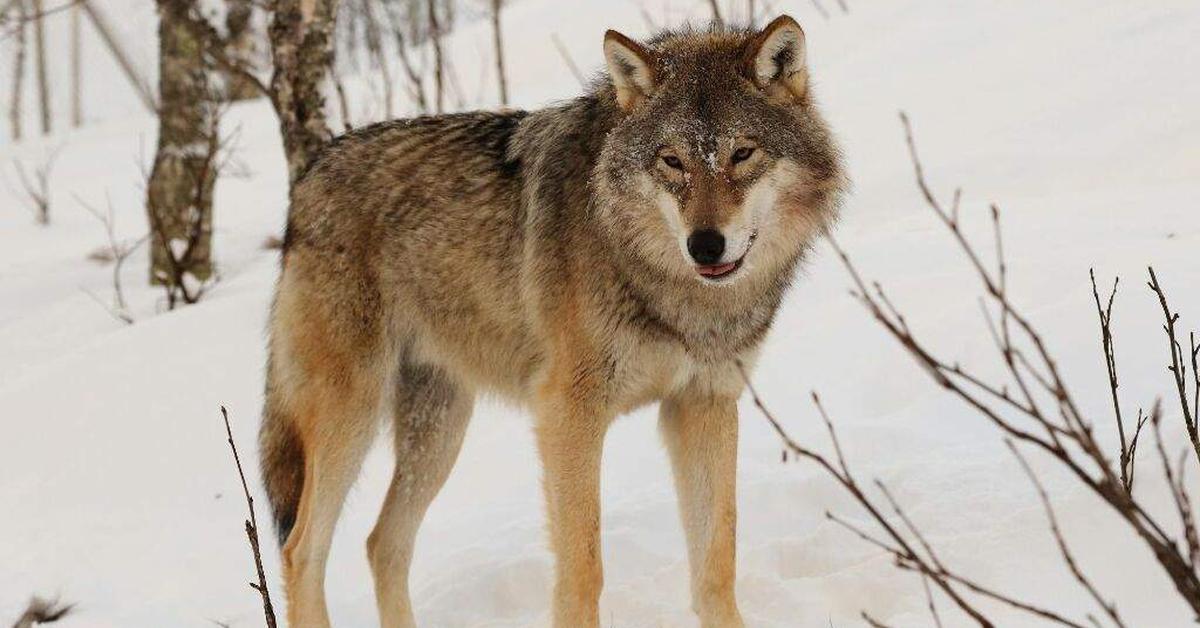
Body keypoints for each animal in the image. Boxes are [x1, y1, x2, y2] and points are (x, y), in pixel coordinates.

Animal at [262, 13, 844, 628]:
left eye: (742, 154)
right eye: (672, 161)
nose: (705, 245)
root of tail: (307, 178)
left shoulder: (704, 403)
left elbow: (716, 561)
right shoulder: (568, 413)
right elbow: (583, 568)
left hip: (439, 430)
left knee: (383, 544)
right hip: (352, 416)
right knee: (302, 549)